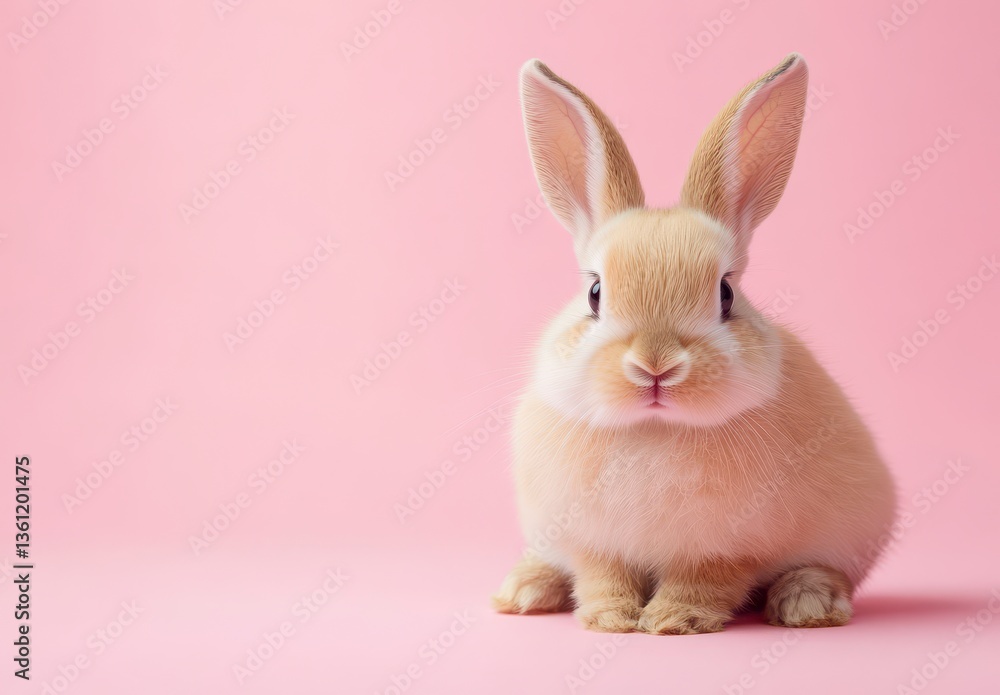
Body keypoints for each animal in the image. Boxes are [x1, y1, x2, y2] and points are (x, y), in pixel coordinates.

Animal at [492, 54, 897, 634]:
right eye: (595, 293)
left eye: (725, 294)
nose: (655, 367)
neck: (654, 431)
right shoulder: (592, 541)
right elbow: (602, 576)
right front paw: (610, 619)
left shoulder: (730, 548)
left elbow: (704, 581)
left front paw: (672, 621)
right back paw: (524, 590)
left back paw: (808, 603)